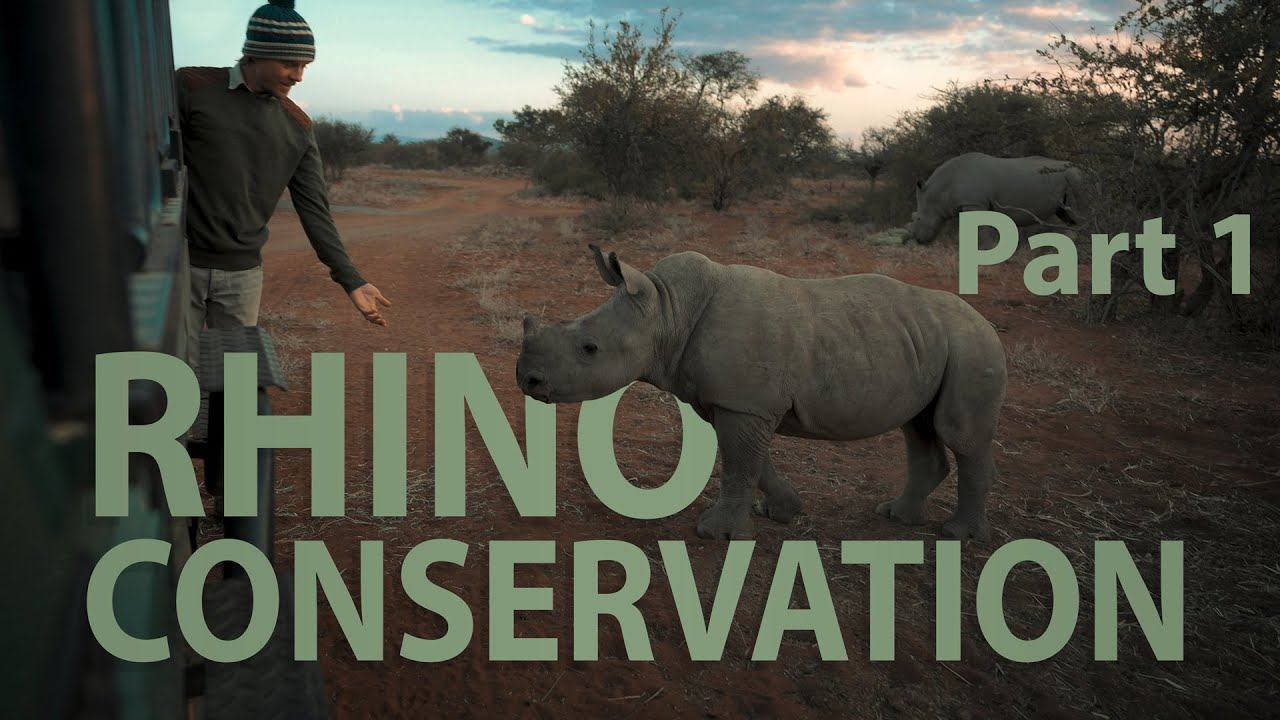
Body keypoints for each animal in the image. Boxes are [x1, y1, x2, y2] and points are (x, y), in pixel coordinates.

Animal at [515, 245, 1008, 541]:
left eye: (589, 348)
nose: (527, 381)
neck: (668, 309)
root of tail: (987, 323)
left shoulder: (743, 403)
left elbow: (739, 464)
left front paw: (715, 534)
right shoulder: (735, 401)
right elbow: (751, 461)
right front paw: (781, 512)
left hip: (973, 346)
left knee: (960, 434)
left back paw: (957, 535)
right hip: (929, 343)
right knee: (918, 426)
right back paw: (895, 517)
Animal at [905, 152, 1084, 246]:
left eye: (918, 218)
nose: (918, 240)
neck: (940, 191)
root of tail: (1077, 167)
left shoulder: (974, 203)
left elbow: (980, 230)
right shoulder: (972, 204)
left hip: (1073, 177)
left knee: (1076, 211)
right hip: (1066, 179)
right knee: (1065, 214)